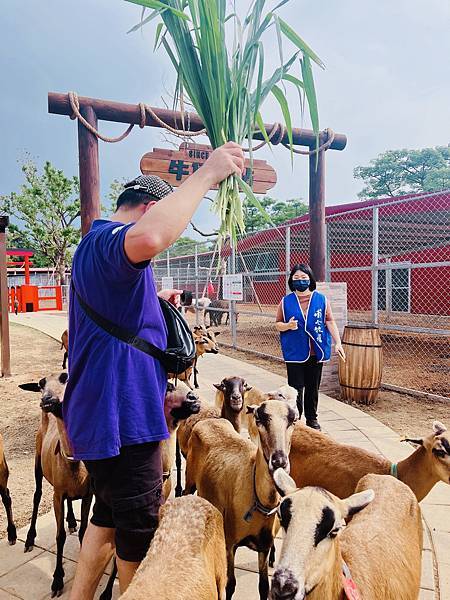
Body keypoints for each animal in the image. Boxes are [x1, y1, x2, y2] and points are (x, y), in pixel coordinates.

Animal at [19, 376, 92, 596]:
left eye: (65, 377)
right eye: (41, 384)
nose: (47, 400)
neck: (73, 463)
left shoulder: (88, 493)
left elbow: (84, 531)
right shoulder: (56, 495)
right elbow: (59, 537)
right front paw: (57, 580)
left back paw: (71, 520)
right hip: (37, 463)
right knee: (36, 495)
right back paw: (29, 539)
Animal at [185, 398, 298, 600]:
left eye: (293, 420)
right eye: (259, 418)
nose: (279, 461)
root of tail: (208, 420)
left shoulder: (264, 546)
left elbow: (263, 586)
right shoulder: (231, 542)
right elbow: (230, 585)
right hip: (189, 478)